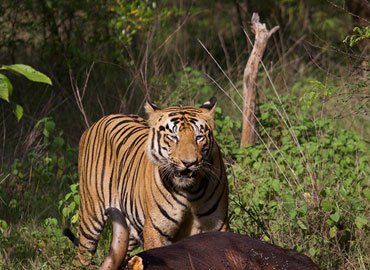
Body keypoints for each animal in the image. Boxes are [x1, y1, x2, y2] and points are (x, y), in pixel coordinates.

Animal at [64, 97, 231, 270]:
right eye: (173, 137)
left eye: (199, 137)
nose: (189, 163)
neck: (189, 192)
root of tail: (100, 120)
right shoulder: (156, 230)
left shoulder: (217, 225)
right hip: (91, 217)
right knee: (82, 255)